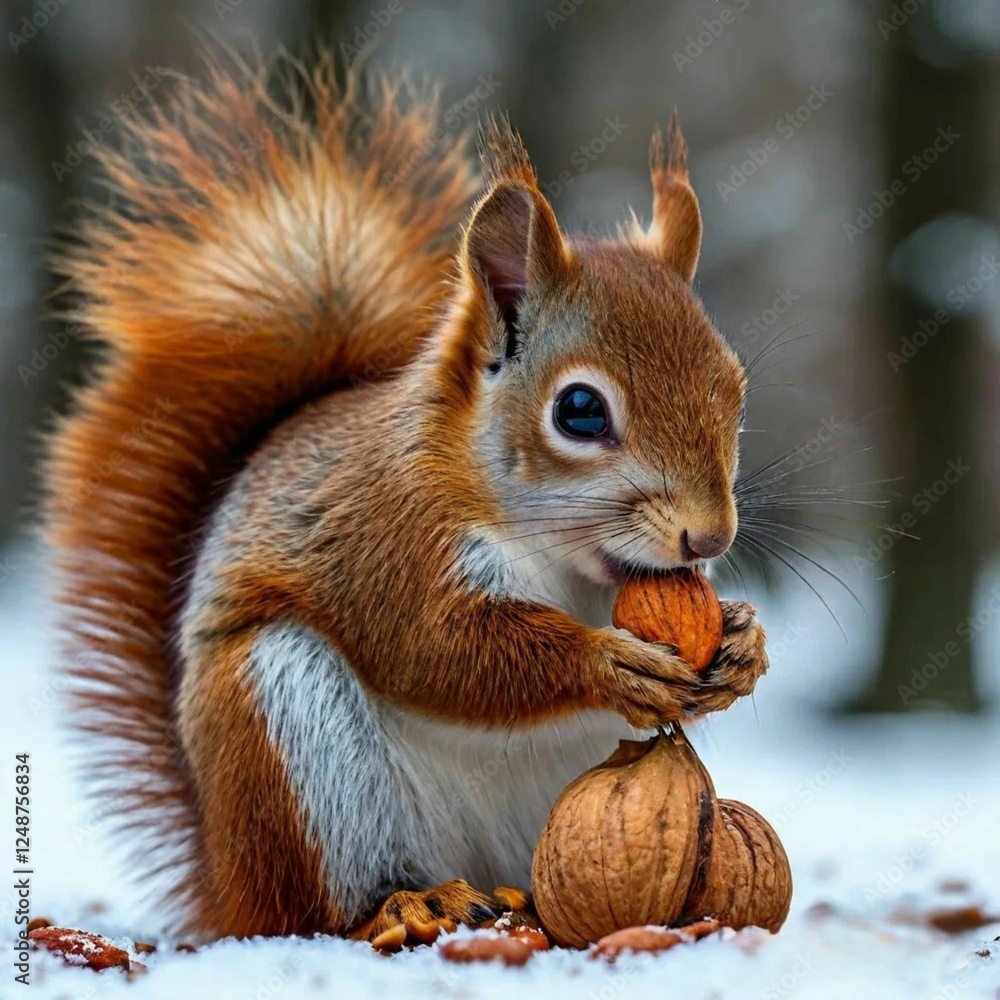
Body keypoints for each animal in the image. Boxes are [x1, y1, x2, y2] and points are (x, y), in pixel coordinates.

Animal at [44, 52, 768, 943]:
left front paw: (743, 644)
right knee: (322, 908)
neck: (559, 557)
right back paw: (408, 902)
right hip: (285, 729)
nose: (709, 539)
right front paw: (604, 663)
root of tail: (224, 883)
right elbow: (441, 649)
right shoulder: (390, 538)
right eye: (580, 410)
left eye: (735, 388)